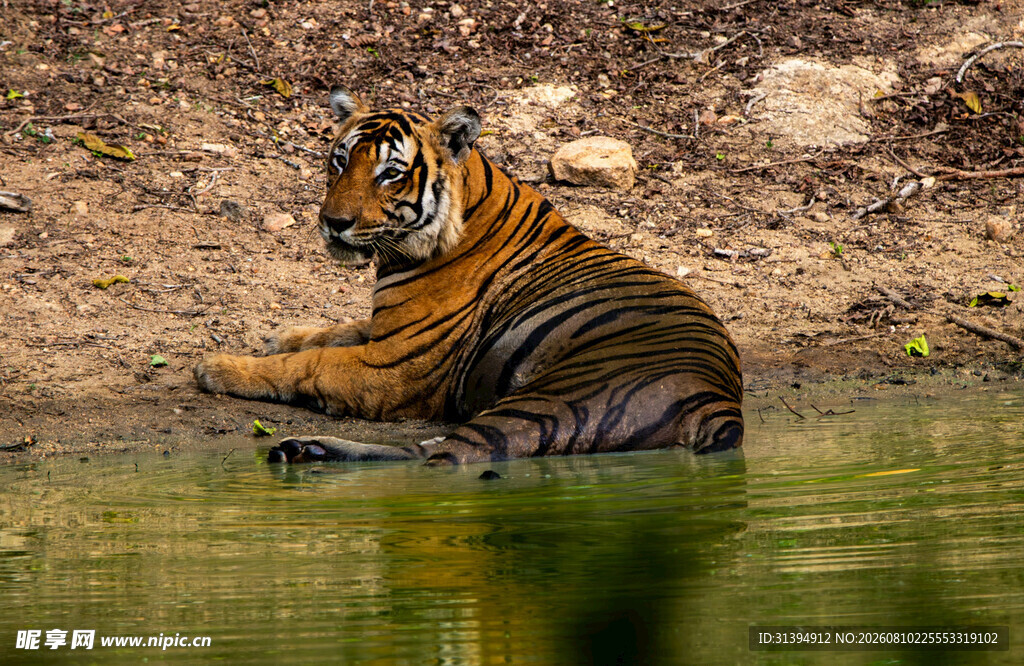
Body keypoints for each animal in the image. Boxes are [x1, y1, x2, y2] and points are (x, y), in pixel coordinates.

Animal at [193, 86, 744, 465]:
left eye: (390, 173)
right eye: (340, 160)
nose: (333, 222)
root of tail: (719, 400)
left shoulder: (391, 366)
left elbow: (308, 365)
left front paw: (219, 368)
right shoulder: (388, 329)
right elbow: (333, 331)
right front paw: (279, 336)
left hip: (546, 401)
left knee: (439, 457)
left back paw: (306, 450)